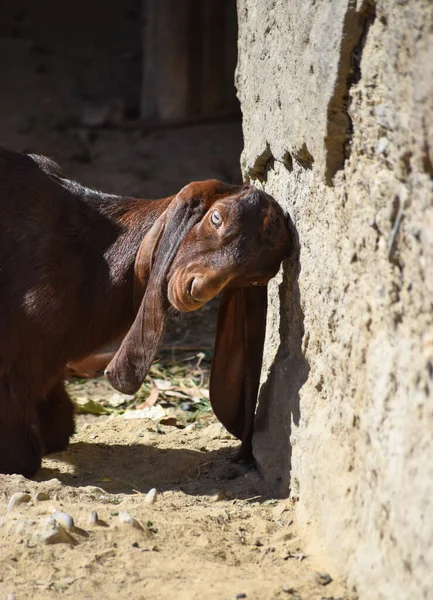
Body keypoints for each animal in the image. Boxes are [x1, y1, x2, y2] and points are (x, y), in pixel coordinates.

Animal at [0, 145, 290, 474]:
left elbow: (59, 428)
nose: (195, 288)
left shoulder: (45, 372)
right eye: (216, 217)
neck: (96, 254)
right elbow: (22, 459)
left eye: (255, 277)